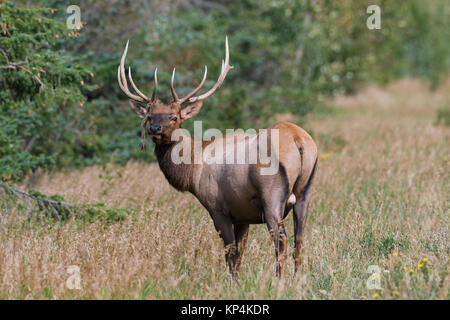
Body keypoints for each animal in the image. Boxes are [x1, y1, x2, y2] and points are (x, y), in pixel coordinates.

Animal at [118, 36, 318, 278]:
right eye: (149, 116)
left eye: (174, 117)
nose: (154, 129)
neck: (193, 170)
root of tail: (299, 140)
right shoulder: (243, 215)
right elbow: (240, 254)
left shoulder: (217, 207)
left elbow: (230, 254)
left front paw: (233, 283)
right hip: (306, 192)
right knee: (300, 240)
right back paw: (298, 280)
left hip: (272, 196)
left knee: (282, 242)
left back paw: (279, 281)